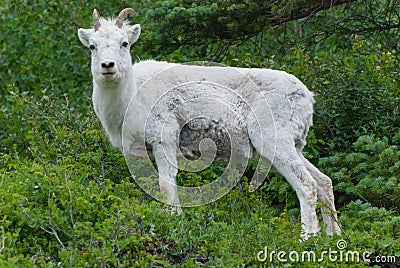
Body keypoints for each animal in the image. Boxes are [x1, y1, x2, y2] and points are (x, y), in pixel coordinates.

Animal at [77, 7, 340, 239]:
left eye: (124, 43)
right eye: (92, 46)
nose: (107, 66)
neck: (131, 96)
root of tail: (306, 97)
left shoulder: (164, 141)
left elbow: (166, 187)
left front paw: (174, 223)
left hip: (276, 143)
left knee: (307, 185)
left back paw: (307, 238)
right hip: (292, 147)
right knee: (323, 183)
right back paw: (333, 236)